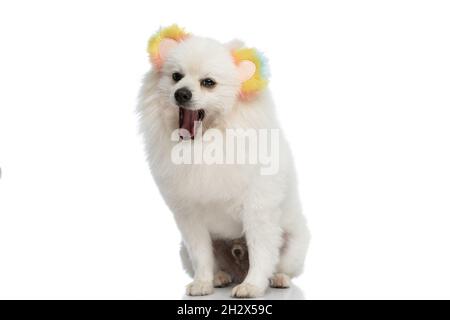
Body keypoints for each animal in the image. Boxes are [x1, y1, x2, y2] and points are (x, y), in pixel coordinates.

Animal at [138, 25, 310, 298]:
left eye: (208, 83)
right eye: (176, 76)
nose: (181, 93)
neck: (205, 143)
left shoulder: (257, 210)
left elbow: (261, 253)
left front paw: (252, 285)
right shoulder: (189, 216)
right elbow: (201, 255)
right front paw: (203, 282)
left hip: (295, 243)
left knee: (282, 264)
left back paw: (278, 278)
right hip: (186, 249)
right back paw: (220, 277)